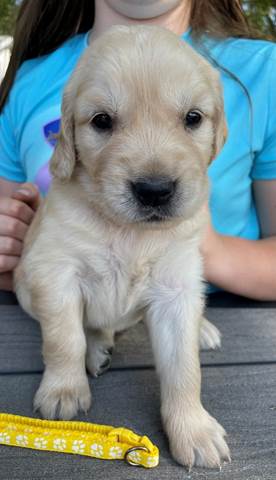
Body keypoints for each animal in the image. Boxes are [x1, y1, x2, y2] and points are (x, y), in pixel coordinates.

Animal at [13, 25, 229, 468]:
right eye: (102, 121)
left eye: (193, 118)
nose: (155, 190)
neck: (130, 232)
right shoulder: (55, 271)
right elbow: (64, 338)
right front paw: (63, 390)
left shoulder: (176, 285)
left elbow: (184, 368)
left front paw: (194, 429)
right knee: (93, 328)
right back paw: (97, 351)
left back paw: (202, 327)